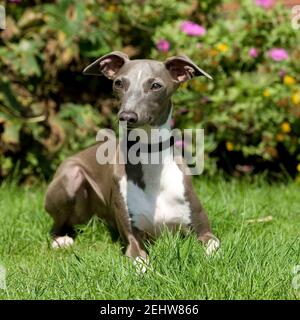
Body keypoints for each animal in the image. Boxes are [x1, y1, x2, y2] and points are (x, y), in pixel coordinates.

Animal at [44, 50, 219, 270]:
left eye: (155, 85)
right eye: (118, 83)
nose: (127, 116)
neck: (151, 159)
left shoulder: (203, 230)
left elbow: (214, 247)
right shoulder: (133, 238)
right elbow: (141, 261)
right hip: (71, 176)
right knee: (56, 226)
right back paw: (61, 240)